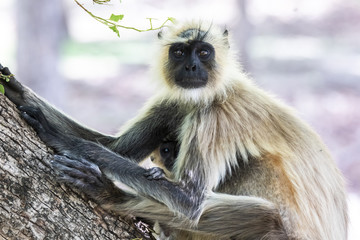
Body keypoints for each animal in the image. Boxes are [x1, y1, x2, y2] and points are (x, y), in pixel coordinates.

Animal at [0, 21, 348, 240]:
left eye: (204, 52)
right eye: (180, 52)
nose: (192, 67)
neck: (214, 91)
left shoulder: (214, 114)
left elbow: (189, 200)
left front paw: (66, 141)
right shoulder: (175, 100)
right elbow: (117, 147)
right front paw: (17, 90)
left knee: (264, 207)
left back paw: (112, 194)